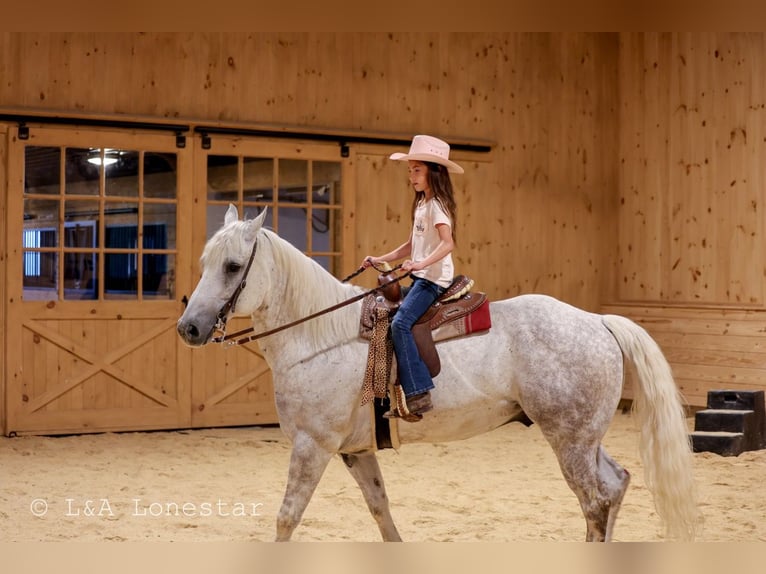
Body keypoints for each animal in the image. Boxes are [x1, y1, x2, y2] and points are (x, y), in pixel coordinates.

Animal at [176, 204, 699, 542]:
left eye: (232, 266)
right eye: (204, 262)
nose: (189, 327)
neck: (320, 336)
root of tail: (598, 321)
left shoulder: (313, 445)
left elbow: (286, 518)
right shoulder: (354, 451)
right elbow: (381, 511)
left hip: (569, 440)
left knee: (593, 503)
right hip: (584, 437)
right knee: (616, 486)